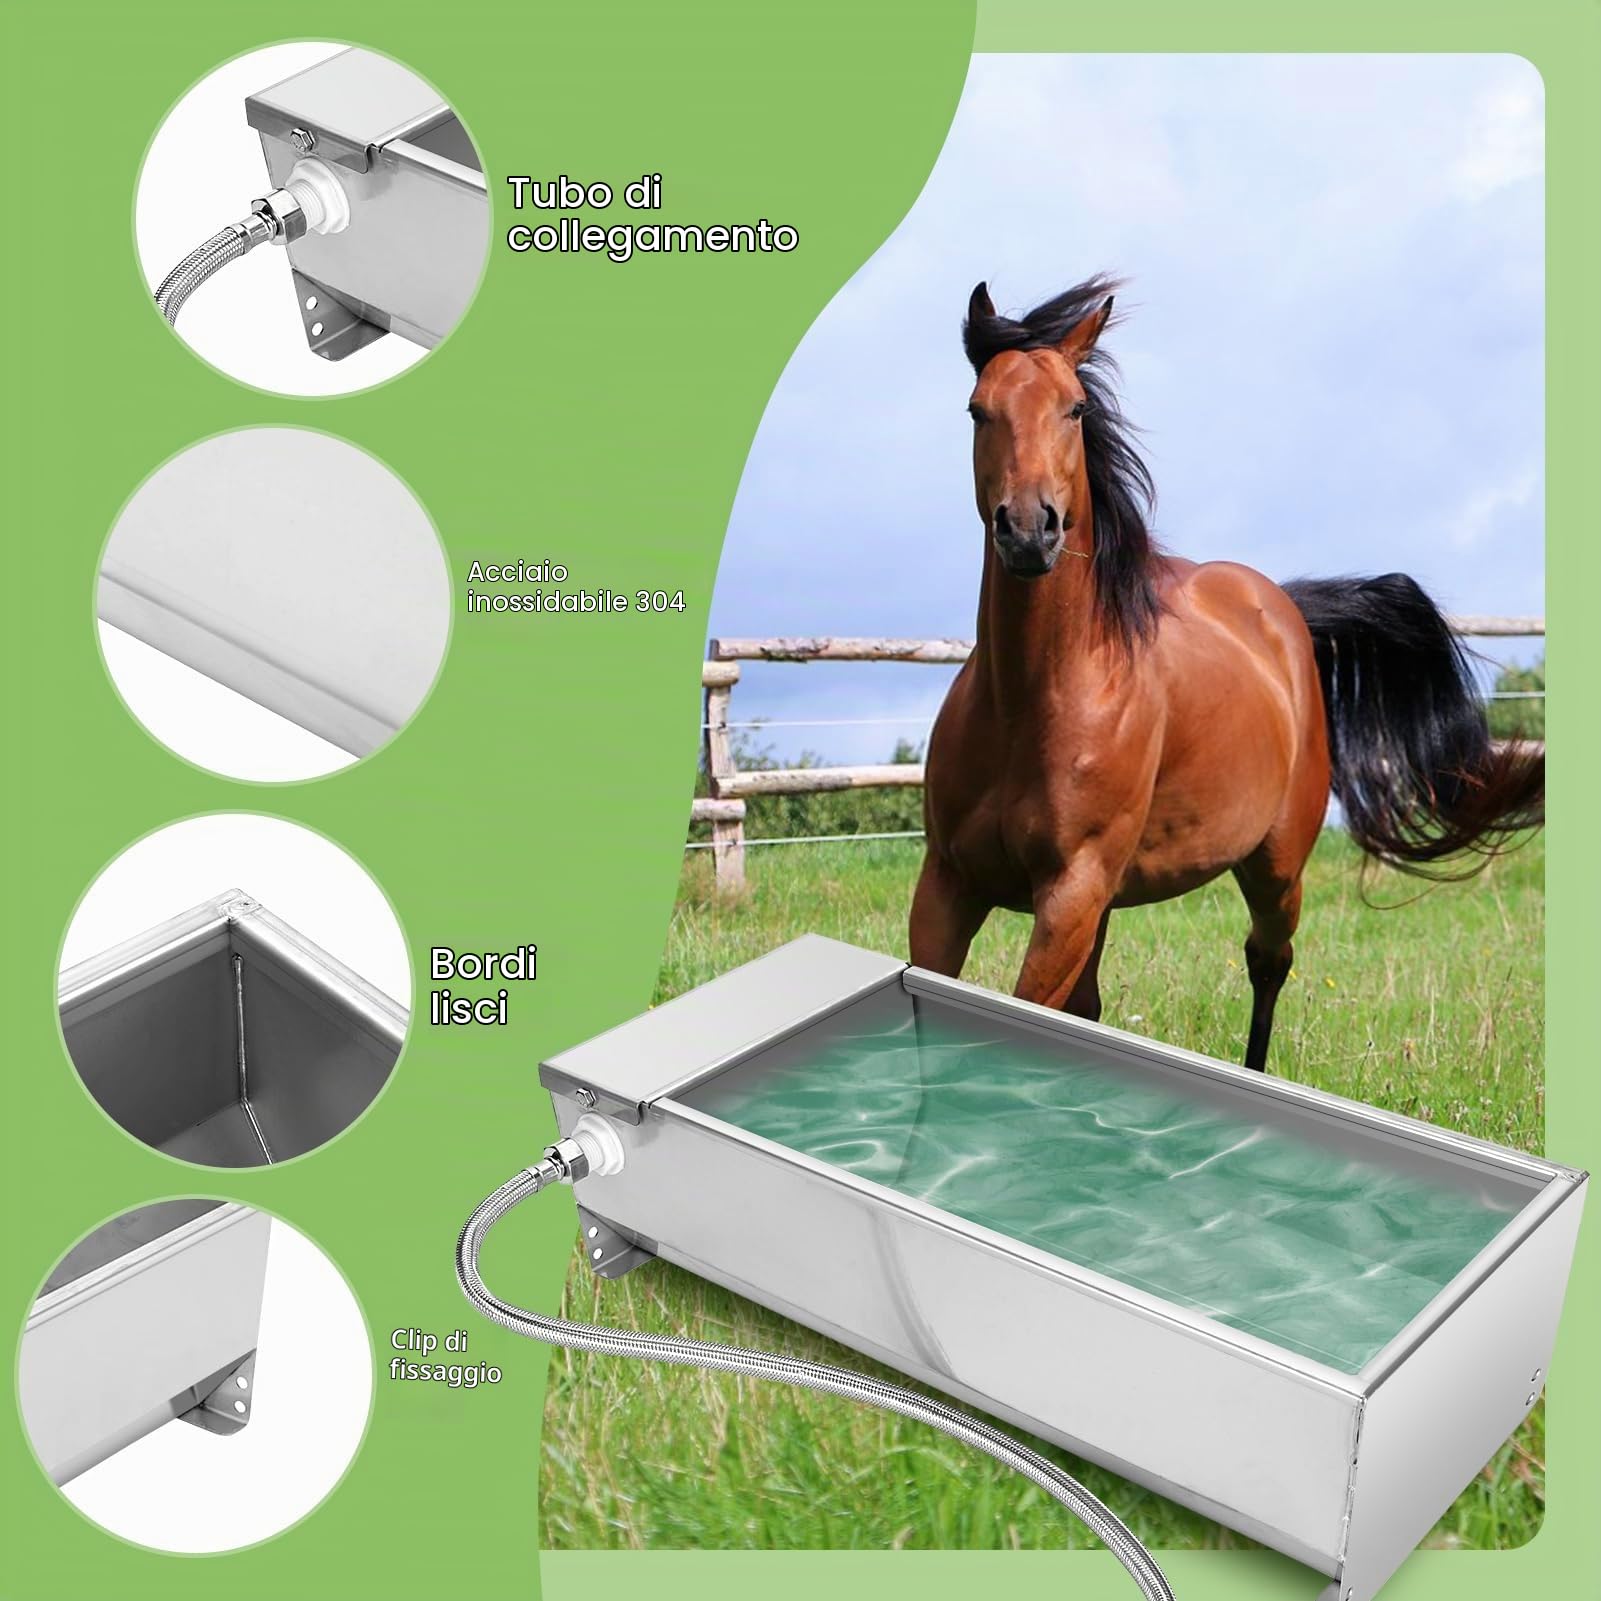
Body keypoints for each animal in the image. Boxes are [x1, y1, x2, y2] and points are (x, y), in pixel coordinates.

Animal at [910, 276, 1543, 1073]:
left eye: (1075, 409)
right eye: (977, 409)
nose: (1029, 529)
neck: (1030, 703)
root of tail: (1282, 610)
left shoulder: (1069, 894)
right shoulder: (949, 885)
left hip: (1274, 872)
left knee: (1268, 964)